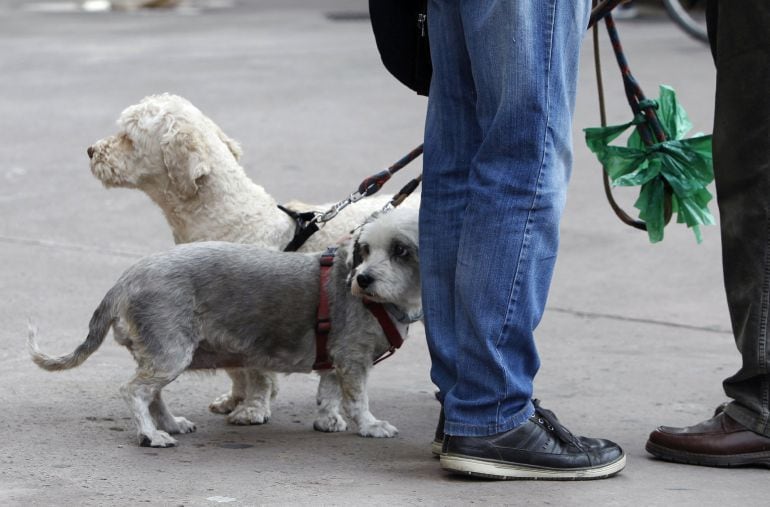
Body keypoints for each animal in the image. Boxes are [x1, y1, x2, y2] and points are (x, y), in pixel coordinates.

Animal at [88, 93, 420, 426]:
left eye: (128, 137)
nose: (91, 150)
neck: (233, 219)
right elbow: (236, 369)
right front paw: (234, 399)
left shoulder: (253, 323)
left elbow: (256, 372)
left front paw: (253, 408)